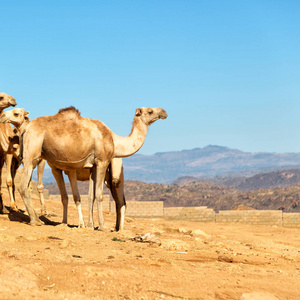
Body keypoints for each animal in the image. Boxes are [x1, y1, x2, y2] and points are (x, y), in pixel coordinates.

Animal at [19, 106, 169, 229]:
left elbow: (89, 196)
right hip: (32, 153)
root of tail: (26, 129)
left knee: (120, 201)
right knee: (23, 186)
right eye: (150, 111)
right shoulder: (102, 161)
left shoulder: (92, 166)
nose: (164, 112)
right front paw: (102, 226)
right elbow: (99, 195)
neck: (114, 141)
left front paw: (88, 225)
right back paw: (35, 220)